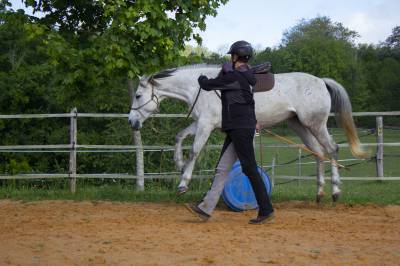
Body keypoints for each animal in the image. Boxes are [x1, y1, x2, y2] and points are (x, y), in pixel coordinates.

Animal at [128, 64, 366, 202]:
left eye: (138, 95)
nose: (131, 122)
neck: (203, 88)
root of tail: (321, 81)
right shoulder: (202, 123)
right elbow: (179, 137)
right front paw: (178, 163)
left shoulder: (206, 124)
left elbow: (194, 150)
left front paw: (183, 183)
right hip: (300, 126)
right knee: (318, 152)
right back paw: (319, 192)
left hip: (315, 124)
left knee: (332, 149)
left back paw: (335, 192)